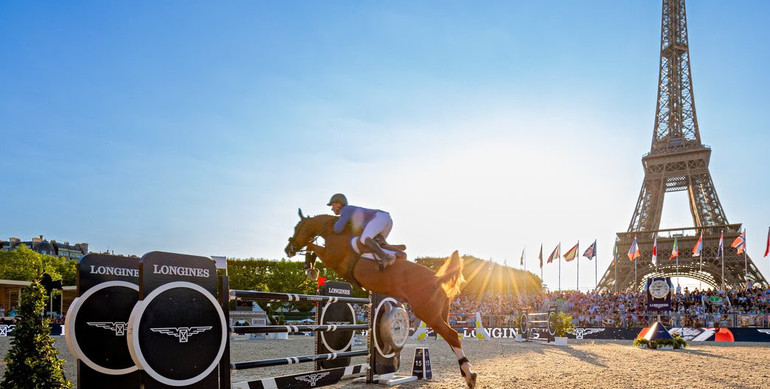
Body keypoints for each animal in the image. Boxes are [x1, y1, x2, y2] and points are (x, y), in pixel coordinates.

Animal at [284, 211, 476, 386]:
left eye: (297, 228)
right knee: (451, 338)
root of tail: (437, 279)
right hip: (440, 314)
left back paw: (469, 375)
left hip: (428, 314)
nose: (288, 249)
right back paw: (465, 372)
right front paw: (309, 268)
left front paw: (310, 268)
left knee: (452, 336)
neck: (335, 232)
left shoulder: (331, 259)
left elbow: (312, 246)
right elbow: (312, 247)